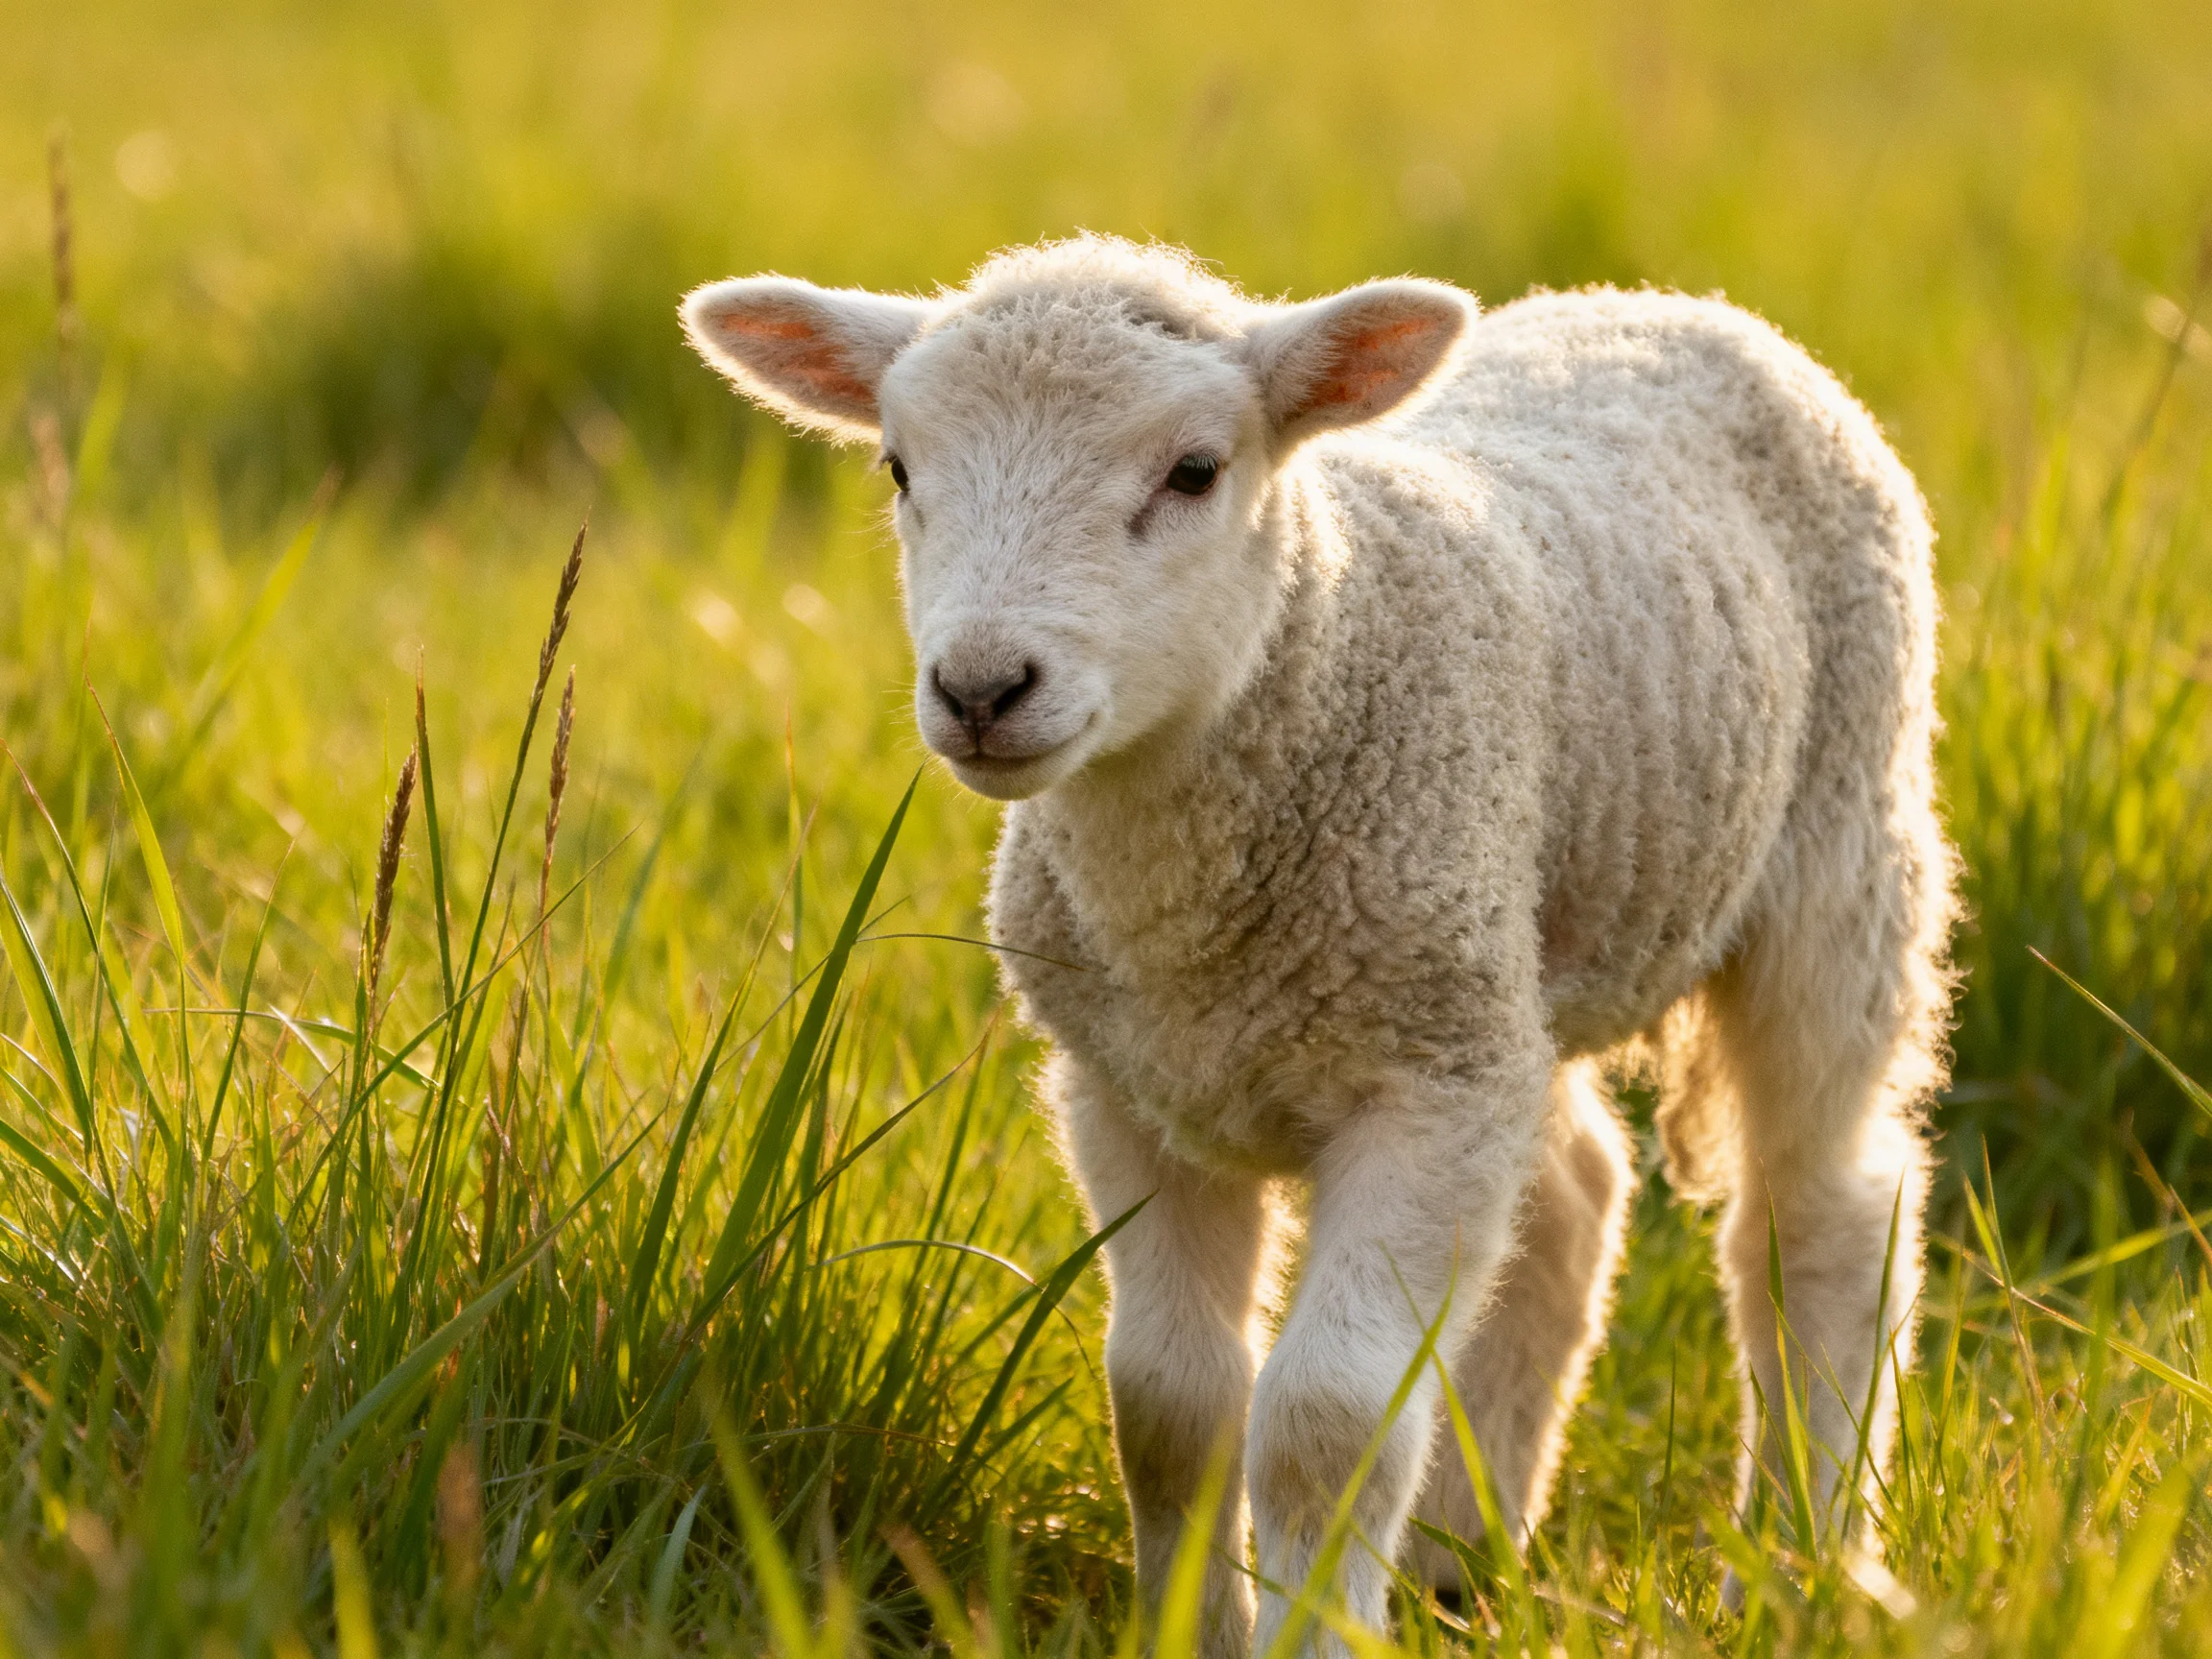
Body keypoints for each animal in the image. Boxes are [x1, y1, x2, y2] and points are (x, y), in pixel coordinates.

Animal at [680, 234, 1958, 1654]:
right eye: (902, 470)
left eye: (1194, 472)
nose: (982, 689)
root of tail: (1667, 302)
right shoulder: (1130, 1093)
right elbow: (1169, 1409)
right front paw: (1194, 1630)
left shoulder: (1420, 1093)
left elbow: (1324, 1424)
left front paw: (1312, 1630)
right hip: (1513, 950)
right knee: (1574, 1193)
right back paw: (1459, 1557)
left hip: (1836, 849)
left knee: (1825, 1217)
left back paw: (1800, 1567)